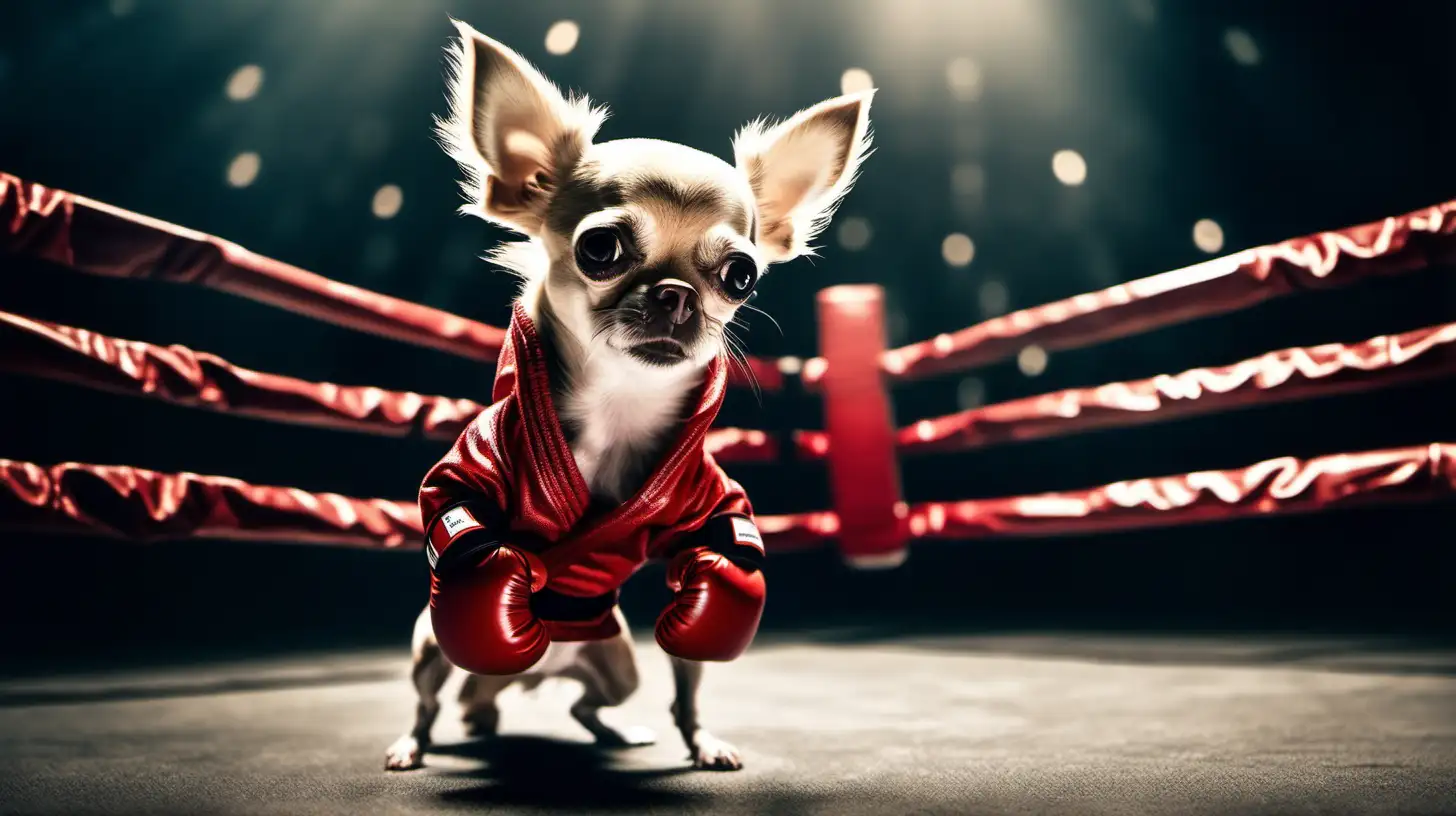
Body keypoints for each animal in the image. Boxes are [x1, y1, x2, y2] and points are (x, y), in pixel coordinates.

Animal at [381, 17, 867, 769]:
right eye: (600, 249)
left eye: (742, 275)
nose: (675, 294)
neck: (618, 406)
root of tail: (529, 672)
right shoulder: (471, 469)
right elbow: (456, 516)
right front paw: (499, 587)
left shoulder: (706, 508)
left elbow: (714, 576)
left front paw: (702, 730)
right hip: (433, 646)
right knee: (432, 701)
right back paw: (417, 739)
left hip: (617, 664)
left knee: (595, 703)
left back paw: (632, 733)